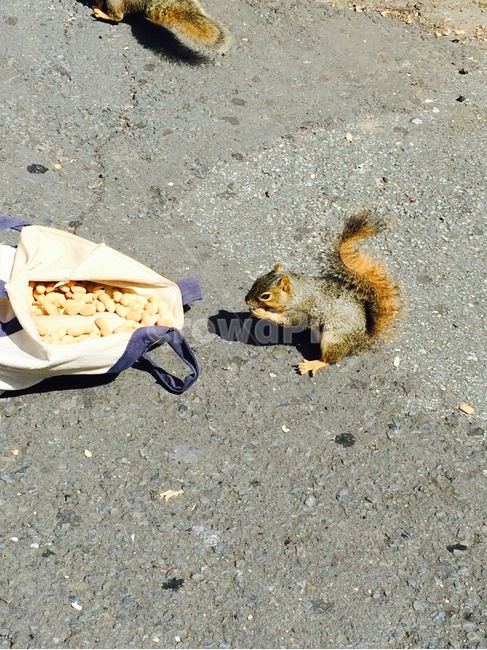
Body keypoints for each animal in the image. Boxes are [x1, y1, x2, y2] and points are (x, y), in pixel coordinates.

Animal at [245, 210, 402, 376]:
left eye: (266, 295)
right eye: (257, 280)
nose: (246, 300)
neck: (297, 292)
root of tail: (360, 342)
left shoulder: (300, 312)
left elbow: (288, 321)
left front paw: (262, 312)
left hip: (333, 337)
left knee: (329, 359)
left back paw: (313, 364)